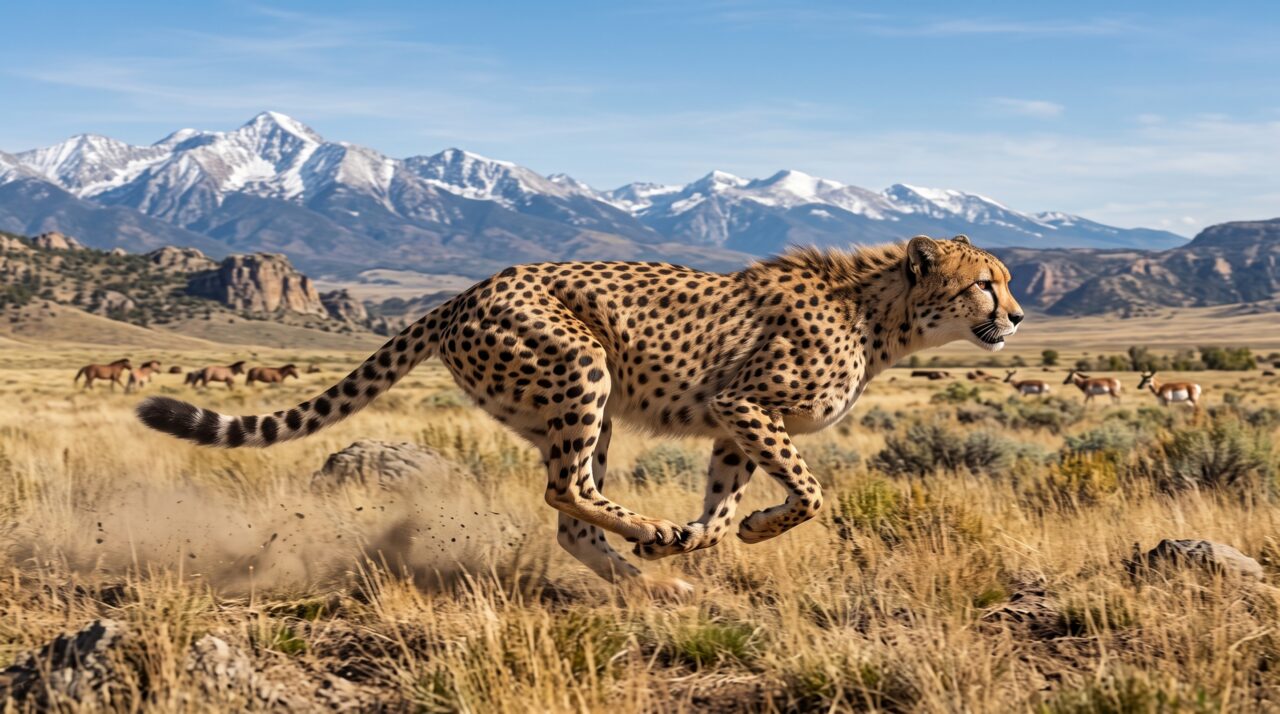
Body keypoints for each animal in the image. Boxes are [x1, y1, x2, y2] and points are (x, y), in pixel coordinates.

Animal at [137, 235, 1023, 597]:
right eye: (987, 284)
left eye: (1009, 283)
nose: (1016, 318)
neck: (883, 316)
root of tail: (473, 287)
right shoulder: (743, 401)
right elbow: (809, 491)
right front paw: (736, 532)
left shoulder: (731, 426)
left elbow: (724, 507)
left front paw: (698, 541)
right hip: (583, 371)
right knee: (566, 491)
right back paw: (647, 542)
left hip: (579, 407)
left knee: (570, 514)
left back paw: (650, 578)